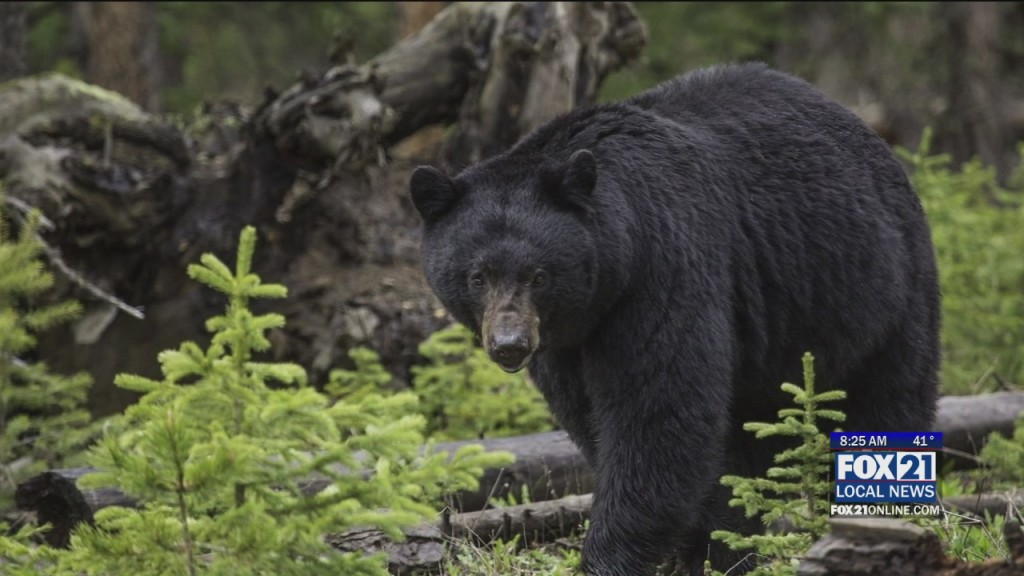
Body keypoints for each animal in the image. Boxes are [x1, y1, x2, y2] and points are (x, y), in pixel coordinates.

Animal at [409, 62, 940, 575]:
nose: (510, 344)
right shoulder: (566, 341)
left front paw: (612, 557)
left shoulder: (663, 270)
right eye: (478, 275)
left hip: (879, 290)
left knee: (890, 398)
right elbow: (592, 416)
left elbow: (658, 412)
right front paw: (701, 545)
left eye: (538, 275)